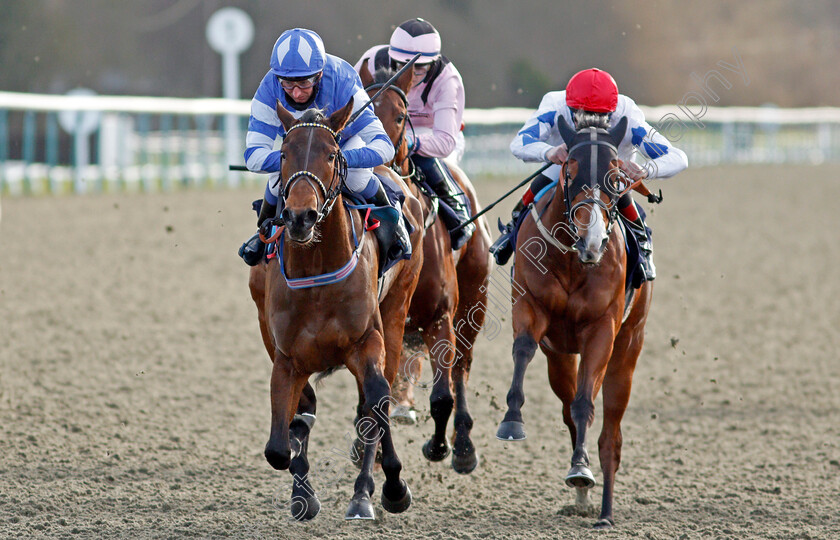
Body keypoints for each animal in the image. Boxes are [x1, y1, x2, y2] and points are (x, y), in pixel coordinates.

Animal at [246, 99, 424, 520]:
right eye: (283, 154)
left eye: (330, 154)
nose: (300, 217)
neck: (317, 274)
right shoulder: (286, 358)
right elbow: (279, 446)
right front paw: (303, 495)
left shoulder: (366, 341)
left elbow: (377, 400)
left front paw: (388, 487)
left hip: (396, 311)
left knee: (377, 396)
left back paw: (368, 490)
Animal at [360, 62, 492, 472]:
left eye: (401, 116)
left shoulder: (441, 317)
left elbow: (442, 396)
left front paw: (441, 447)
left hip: (474, 301)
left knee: (461, 370)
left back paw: (463, 446)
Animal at [496, 115, 652, 528]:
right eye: (570, 169)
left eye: (616, 175)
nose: (591, 240)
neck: (572, 259)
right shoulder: (529, 305)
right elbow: (523, 349)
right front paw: (512, 419)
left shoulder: (601, 329)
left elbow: (586, 404)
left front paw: (581, 467)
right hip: (561, 358)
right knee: (567, 407)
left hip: (627, 350)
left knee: (609, 433)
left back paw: (604, 511)